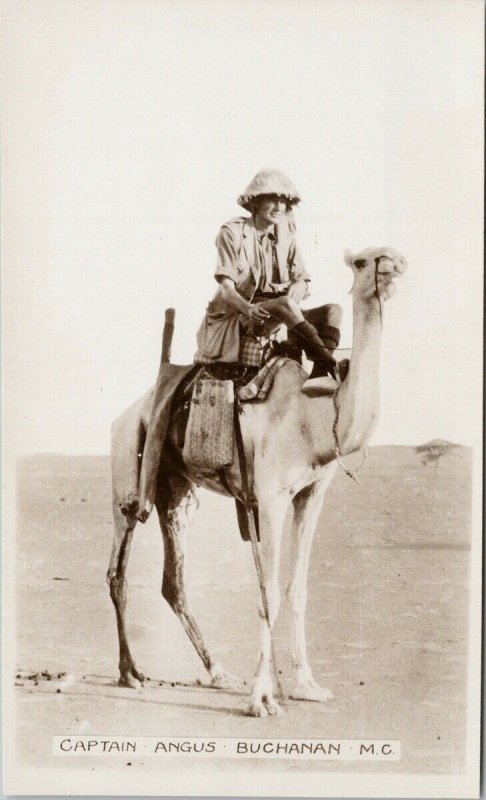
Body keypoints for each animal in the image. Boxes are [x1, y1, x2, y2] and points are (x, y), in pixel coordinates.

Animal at [109, 245, 406, 720]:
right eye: (363, 261)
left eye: (389, 254)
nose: (393, 263)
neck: (314, 417)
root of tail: (126, 413)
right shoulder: (270, 496)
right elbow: (268, 591)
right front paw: (263, 698)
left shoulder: (311, 494)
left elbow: (297, 588)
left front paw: (306, 685)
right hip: (127, 476)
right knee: (117, 571)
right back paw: (130, 673)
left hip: (176, 492)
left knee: (174, 583)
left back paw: (219, 673)